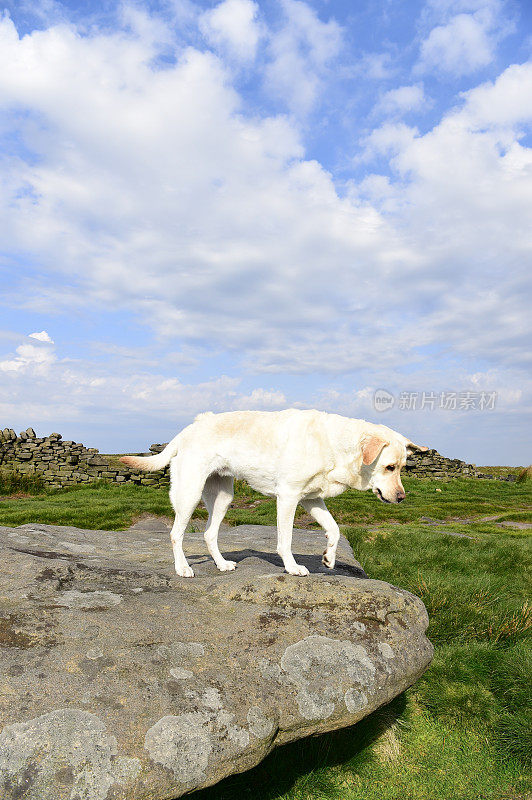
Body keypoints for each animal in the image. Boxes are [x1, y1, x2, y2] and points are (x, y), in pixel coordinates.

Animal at [120, 412, 428, 576]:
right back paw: (182, 568)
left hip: (222, 498)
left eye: (403, 467)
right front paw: (292, 568)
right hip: (189, 493)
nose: (402, 497)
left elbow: (335, 529)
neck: (335, 445)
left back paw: (221, 564)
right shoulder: (289, 497)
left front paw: (328, 558)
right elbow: (286, 540)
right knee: (175, 534)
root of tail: (189, 428)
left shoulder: (312, 499)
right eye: (389, 467)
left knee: (208, 534)